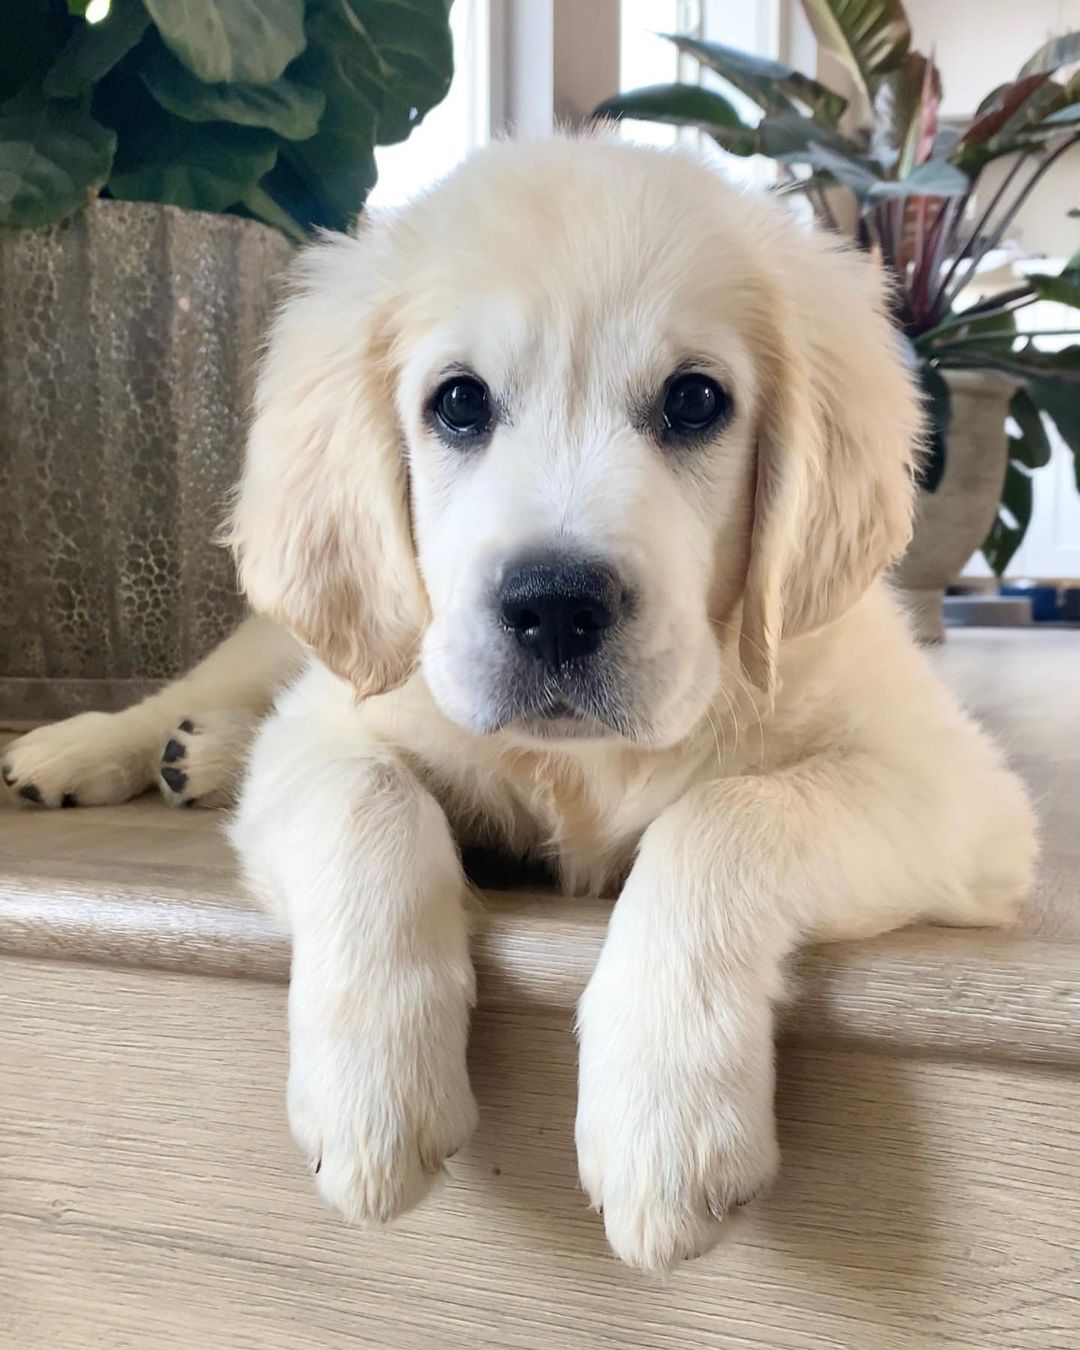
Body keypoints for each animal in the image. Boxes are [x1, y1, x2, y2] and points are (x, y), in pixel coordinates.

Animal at [8, 134, 1036, 1263]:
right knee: (206, 689)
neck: (585, 762)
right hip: (297, 635)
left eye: (696, 401)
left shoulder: (958, 795)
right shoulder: (326, 731)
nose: (554, 608)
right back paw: (95, 749)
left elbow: (727, 813)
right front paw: (373, 1102)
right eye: (459, 402)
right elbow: (368, 796)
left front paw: (661, 1118)